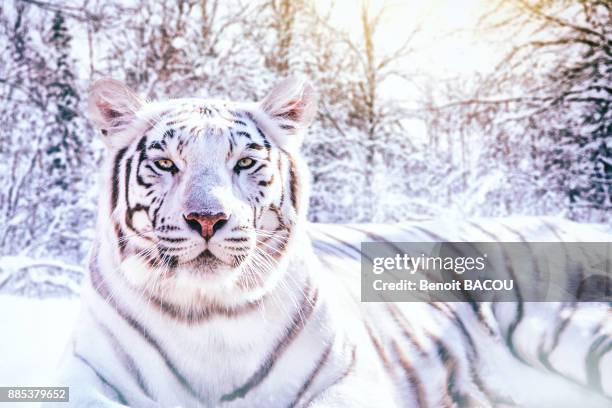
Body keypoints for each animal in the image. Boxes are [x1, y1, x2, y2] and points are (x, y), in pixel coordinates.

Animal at [49, 77, 612, 408]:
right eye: (166, 163)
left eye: (244, 162)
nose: (207, 219)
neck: (206, 316)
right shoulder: (91, 379)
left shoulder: (348, 377)